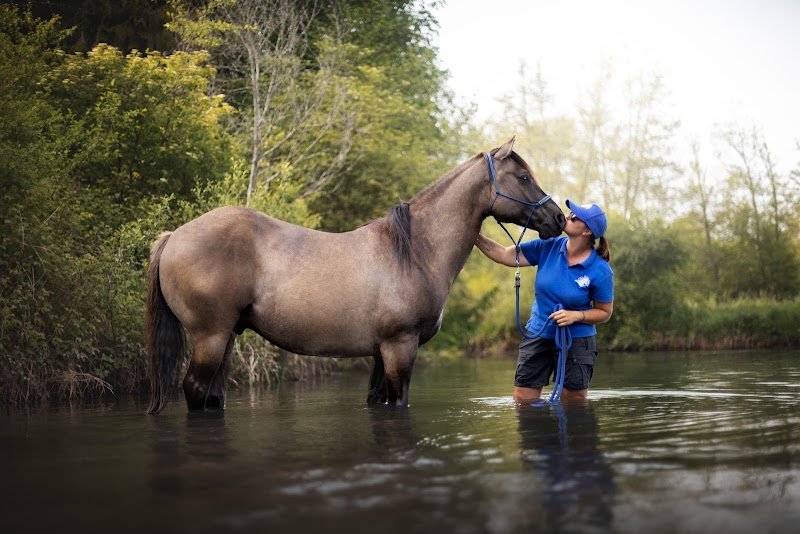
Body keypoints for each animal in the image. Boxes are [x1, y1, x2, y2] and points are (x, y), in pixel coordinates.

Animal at [145, 138, 565, 413]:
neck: (415, 251)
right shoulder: (400, 347)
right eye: (522, 177)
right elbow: (398, 401)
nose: (558, 219)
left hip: (227, 337)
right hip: (210, 336)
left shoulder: (380, 352)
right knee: (195, 390)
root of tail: (173, 237)